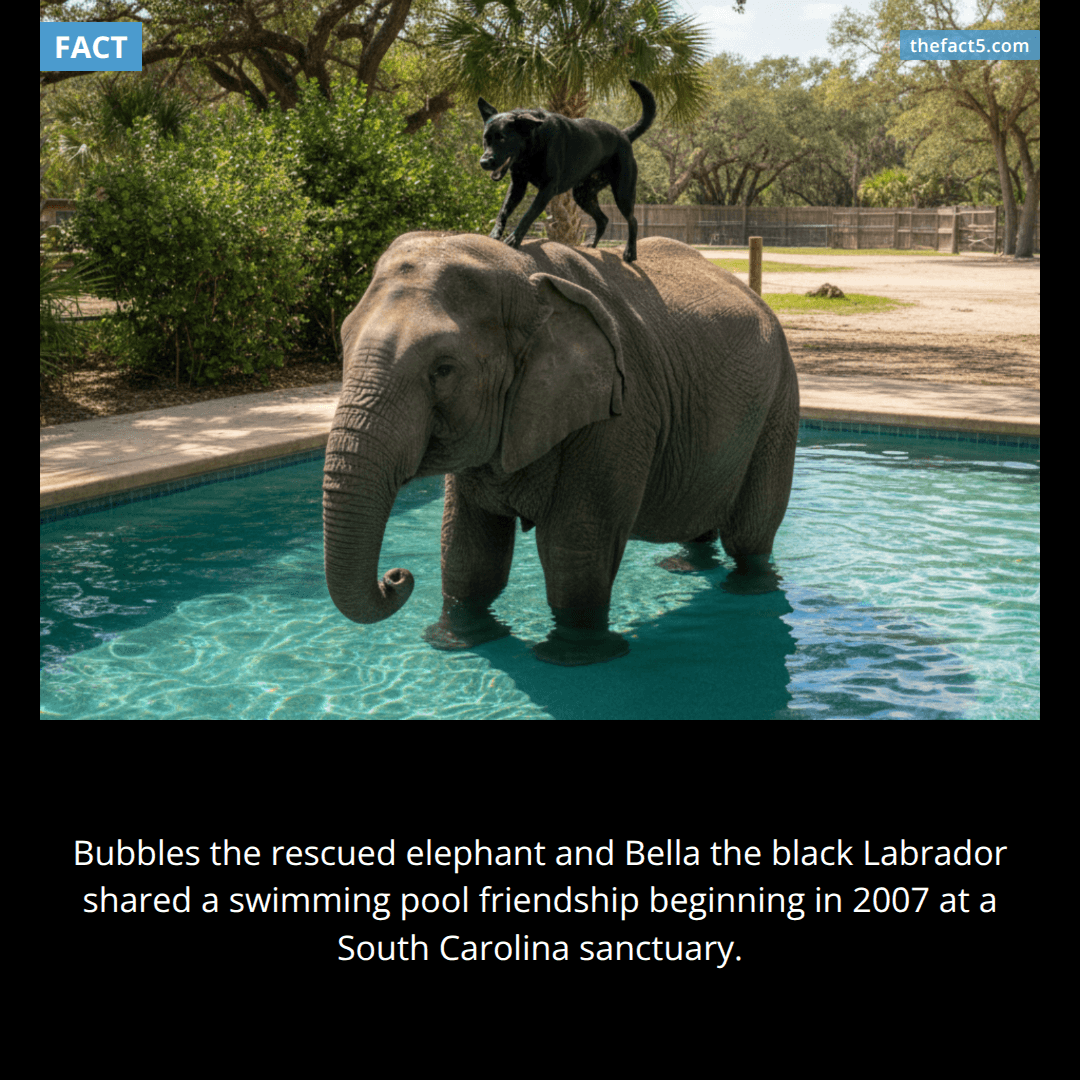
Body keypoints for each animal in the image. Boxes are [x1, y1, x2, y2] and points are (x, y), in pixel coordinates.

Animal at [323, 231, 799, 666]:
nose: (396, 577)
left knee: (750, 531)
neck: (525, 279)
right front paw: (460, 641)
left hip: (779, 400)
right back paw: (685, 568)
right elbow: (467, 546)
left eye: (443, 370)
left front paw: (574, 657)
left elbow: (574, 542)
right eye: (342, 343)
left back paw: (748, 589)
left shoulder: (621, 412)